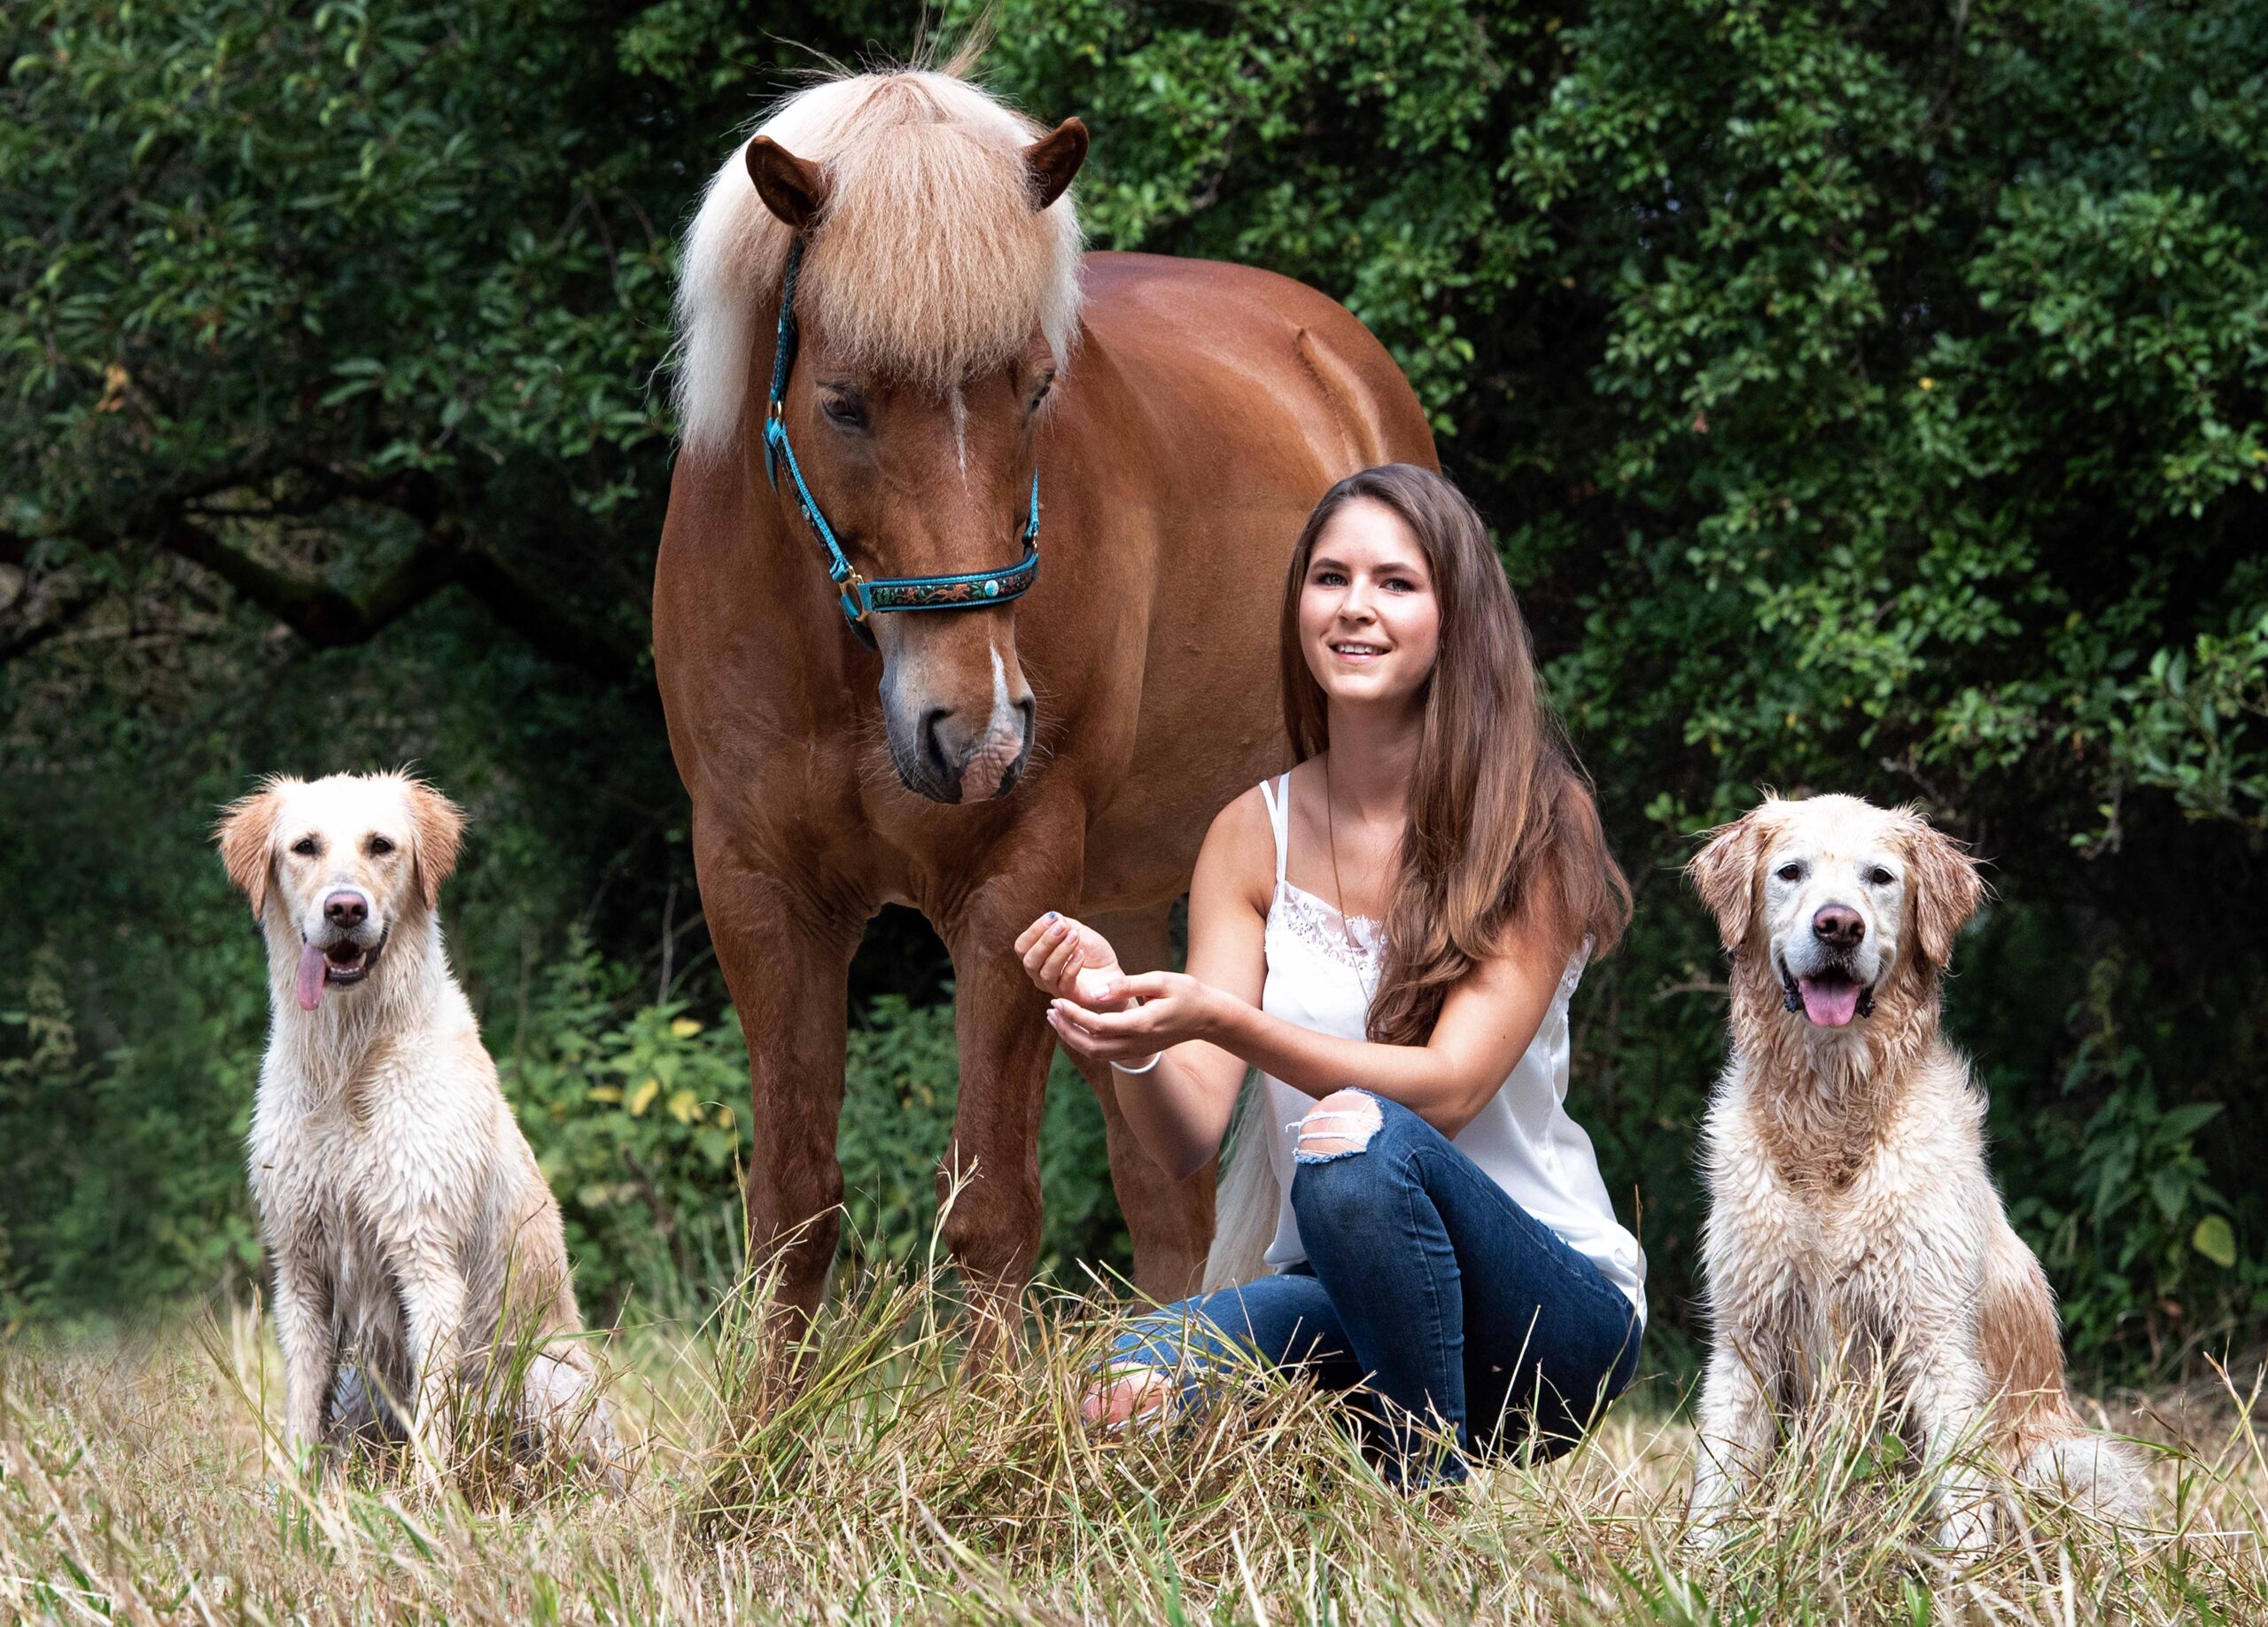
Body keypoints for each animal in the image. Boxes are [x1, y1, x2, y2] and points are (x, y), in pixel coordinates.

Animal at [657, 66, 1433, 1334]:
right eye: (843, 402)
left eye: (1034, 390)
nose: (974, 734)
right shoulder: (758, 889)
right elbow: (793, 1209)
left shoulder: (1014, 882)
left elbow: (990, 1212)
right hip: (1123, 907)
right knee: (1166, 1193)